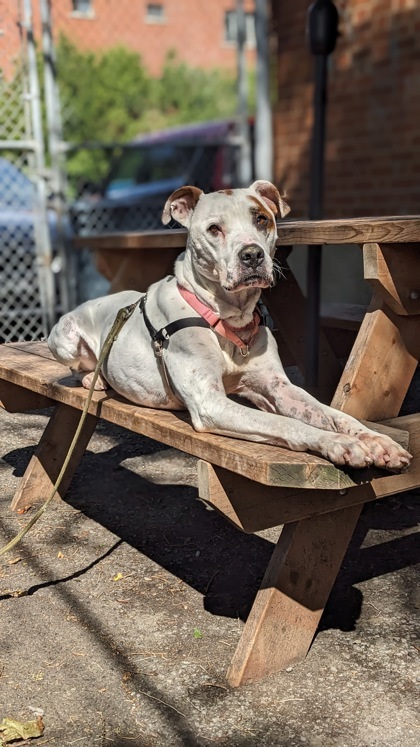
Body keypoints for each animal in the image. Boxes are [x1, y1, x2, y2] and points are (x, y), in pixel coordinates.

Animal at [48, 182, 410, 470]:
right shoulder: (210, 401)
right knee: (78, 366)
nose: (252, 255)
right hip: (64, 339)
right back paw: (92, 378)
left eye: (261, 219)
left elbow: (334, 415)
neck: (228, 317)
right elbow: (283, 424)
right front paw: (339, 443)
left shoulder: (278, 387)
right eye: (214, 229)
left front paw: (377, 441)